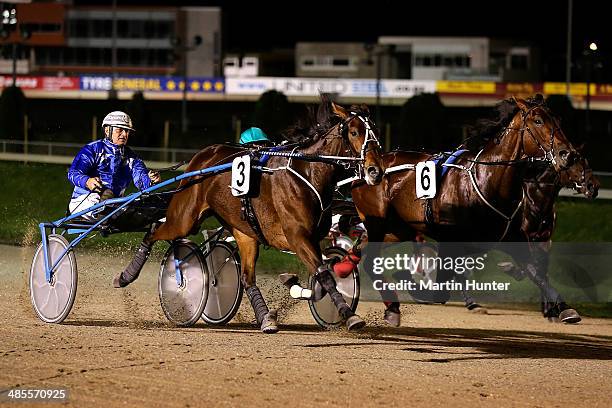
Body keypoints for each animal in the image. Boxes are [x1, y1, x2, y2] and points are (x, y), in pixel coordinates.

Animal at [115, 95, 384, 332]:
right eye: (354, 132)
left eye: (375, 133)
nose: (375, 170)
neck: (307, 172)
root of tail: (202, 155)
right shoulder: (297, 237)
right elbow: (325, 274)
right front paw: (349, 315)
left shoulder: (312, 238)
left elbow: (322, 273)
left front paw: (297, 286)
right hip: (185, 218)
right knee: (154, 231)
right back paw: (126, 276)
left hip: (245, 233)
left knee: (247, 278)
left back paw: (266, 318)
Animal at [352, 95, 596, 326]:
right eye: (538, 121)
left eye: (558, 121)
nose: (567, 154)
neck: (488, 181)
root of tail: (367, 168)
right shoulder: (452, 241)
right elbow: (440, 287)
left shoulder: (515, 239)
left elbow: (536, 271)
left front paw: (565, 309)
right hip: (379, 223)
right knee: (370, 258)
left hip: (399, 229)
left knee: (363, 254)